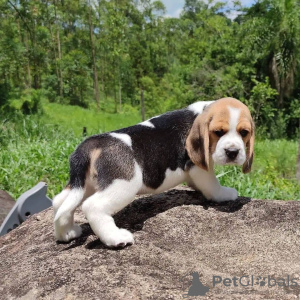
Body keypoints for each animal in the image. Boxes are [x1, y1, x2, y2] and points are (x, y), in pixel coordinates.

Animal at [53, 97, 253, 247]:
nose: (233, 152)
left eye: (244, 132)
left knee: (60, 203)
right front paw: (225, 194)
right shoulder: (198, 167)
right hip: (124, 184)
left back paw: (67, 233)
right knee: (92, 206)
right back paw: (116, 238)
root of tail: (87, 146)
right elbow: (212, 185)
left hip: (83, 184)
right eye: (218, 132)